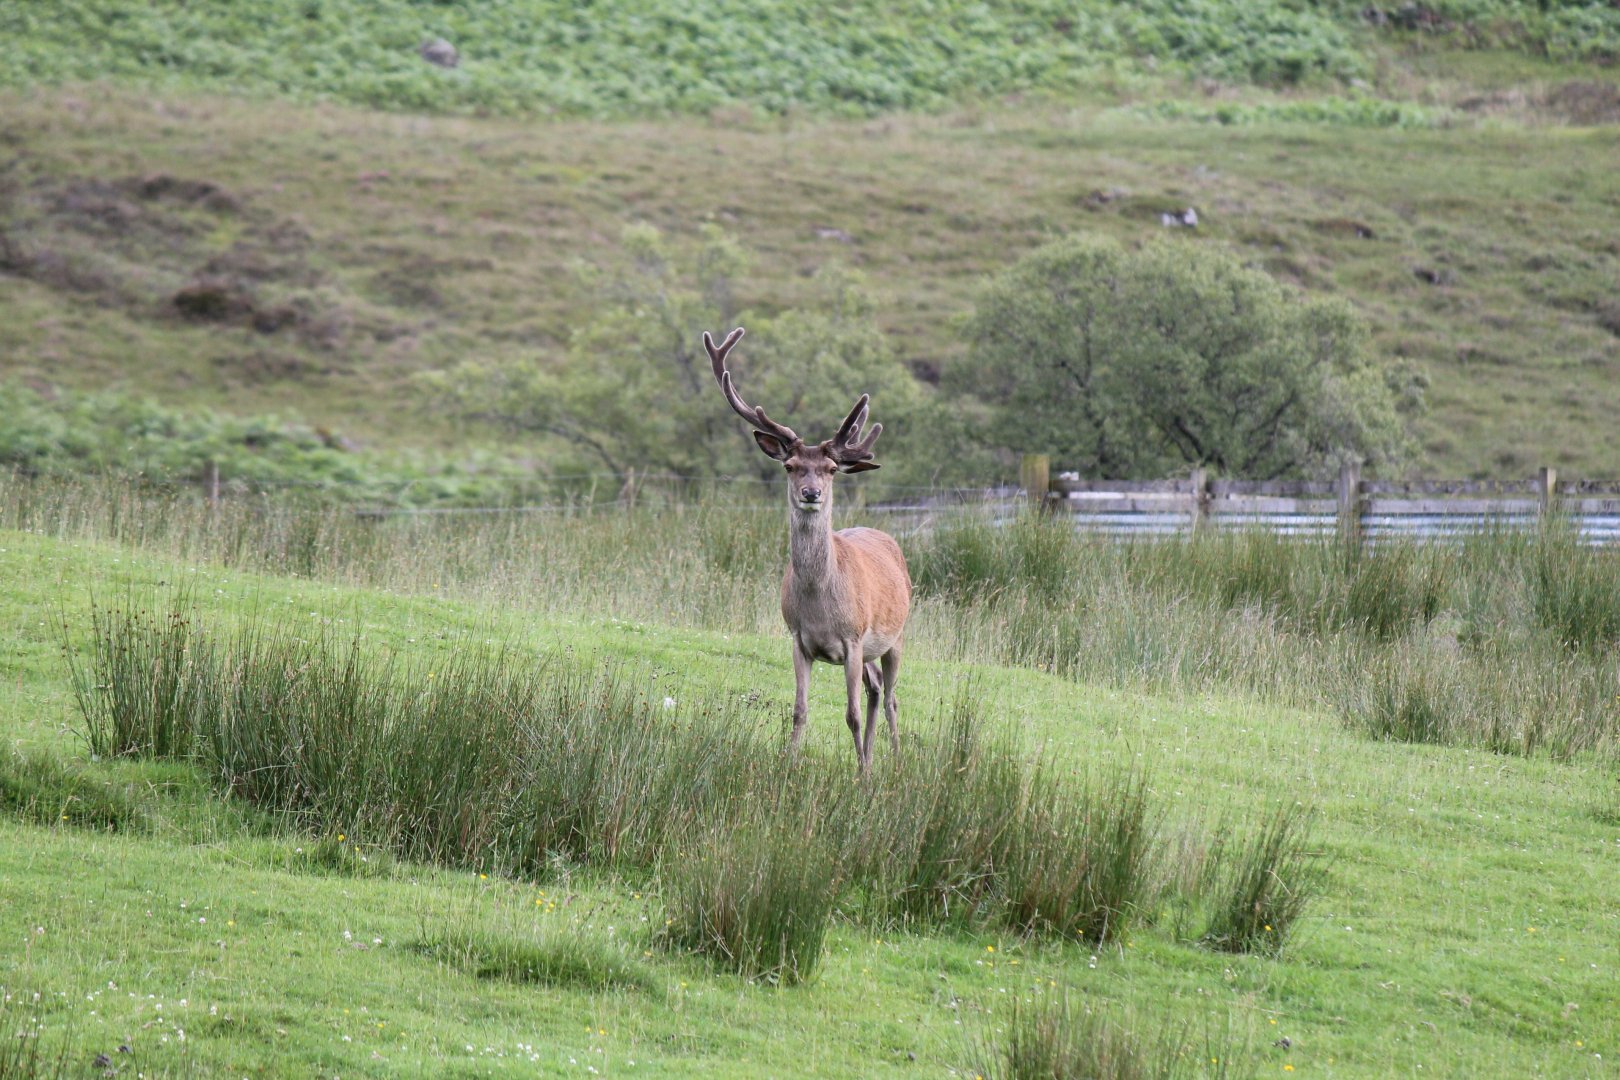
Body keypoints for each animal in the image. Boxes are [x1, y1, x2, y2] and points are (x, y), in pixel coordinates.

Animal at [704, 326, 912, 773]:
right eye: (790, 466)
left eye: (831, 469)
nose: (811, 492)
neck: (820, 603)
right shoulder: (798, 638)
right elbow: (799, 709)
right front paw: (790, 764)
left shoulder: (853, 638)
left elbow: (850, 714)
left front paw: (860, 777)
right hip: (871, 652)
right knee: (875, 689)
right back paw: (871, 758)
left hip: (896, 635)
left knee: (890, 697)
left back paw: (892, 760)